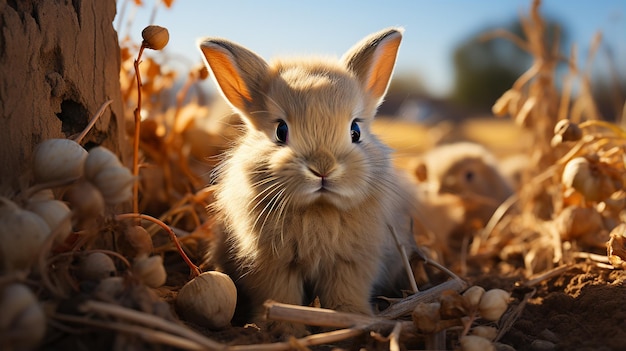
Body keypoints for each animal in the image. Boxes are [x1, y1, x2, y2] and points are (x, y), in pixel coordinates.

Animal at [197, 27, 416, 336]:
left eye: (356, 130)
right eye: (281, 130)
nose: (323, 169)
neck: (318, 209)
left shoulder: (351, 263)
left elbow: (345, 292)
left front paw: (350, 319)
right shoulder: (273, 265)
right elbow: (281, 296)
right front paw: (284, 329)